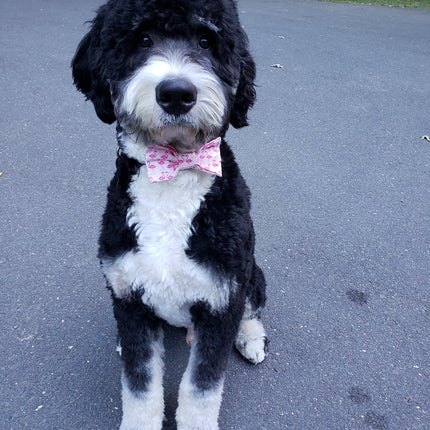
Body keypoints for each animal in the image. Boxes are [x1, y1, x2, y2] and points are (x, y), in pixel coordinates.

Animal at [72, 0, 268, 430]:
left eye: (207, 40)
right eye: (142, 38)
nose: (177, 93)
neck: (173, 172)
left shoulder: (221, 298)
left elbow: (202, 389)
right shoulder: (128, 289)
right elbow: (139, 383)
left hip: (252, 274)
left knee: (252, 307)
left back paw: (249, 337)